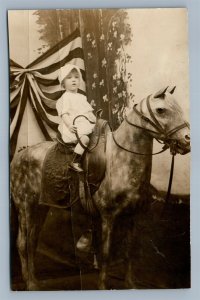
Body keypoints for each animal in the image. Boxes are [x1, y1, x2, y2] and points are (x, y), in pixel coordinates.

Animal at [10, 85, 191, 290]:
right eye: (161, 110)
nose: (187, 140)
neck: (121, 160)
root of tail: (19, 154)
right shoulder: (108, 217)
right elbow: (105, 254)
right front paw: (103, 286)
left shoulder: (132, 217)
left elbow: (129, 251)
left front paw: (130, 284)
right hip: (25, 207)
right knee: (22, 243)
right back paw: (30, 283)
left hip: (41, 208)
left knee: (31, 241)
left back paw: (33, 279)